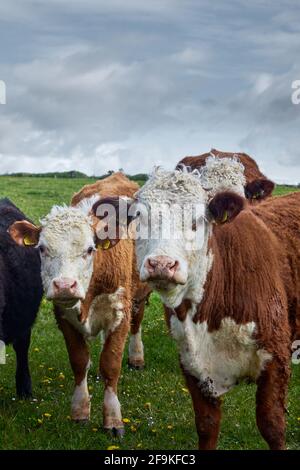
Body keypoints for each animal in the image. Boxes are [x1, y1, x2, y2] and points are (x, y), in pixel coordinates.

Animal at [8, 173, 150, 436]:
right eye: (42, 248)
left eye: (90, 249)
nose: (64, 285)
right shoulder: (64, 317)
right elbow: (79, 360)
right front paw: (80, 410)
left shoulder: (120, 312)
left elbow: (111, 363)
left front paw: (113, 418)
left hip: (139, 294)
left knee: (137, 324)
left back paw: (136, 357)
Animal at [91, 164, 300, 448]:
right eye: (139, 217)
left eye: (197, 220)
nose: (162, 264)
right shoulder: (192, 362)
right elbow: (207, 425)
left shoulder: (276, 358)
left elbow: (272, 425)